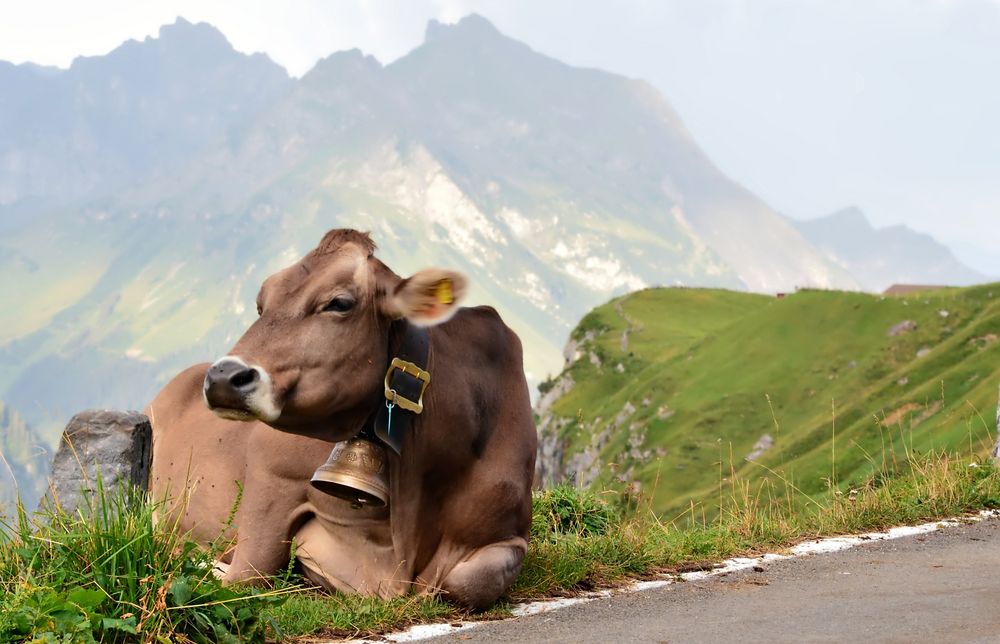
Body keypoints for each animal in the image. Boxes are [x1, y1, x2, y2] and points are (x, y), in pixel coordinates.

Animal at [145, 229, 536, 608]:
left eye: (340, 303)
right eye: (261, 304)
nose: (223, 377)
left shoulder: (511, 534)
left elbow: (470, 583)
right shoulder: (269, 473)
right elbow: (245, 575)